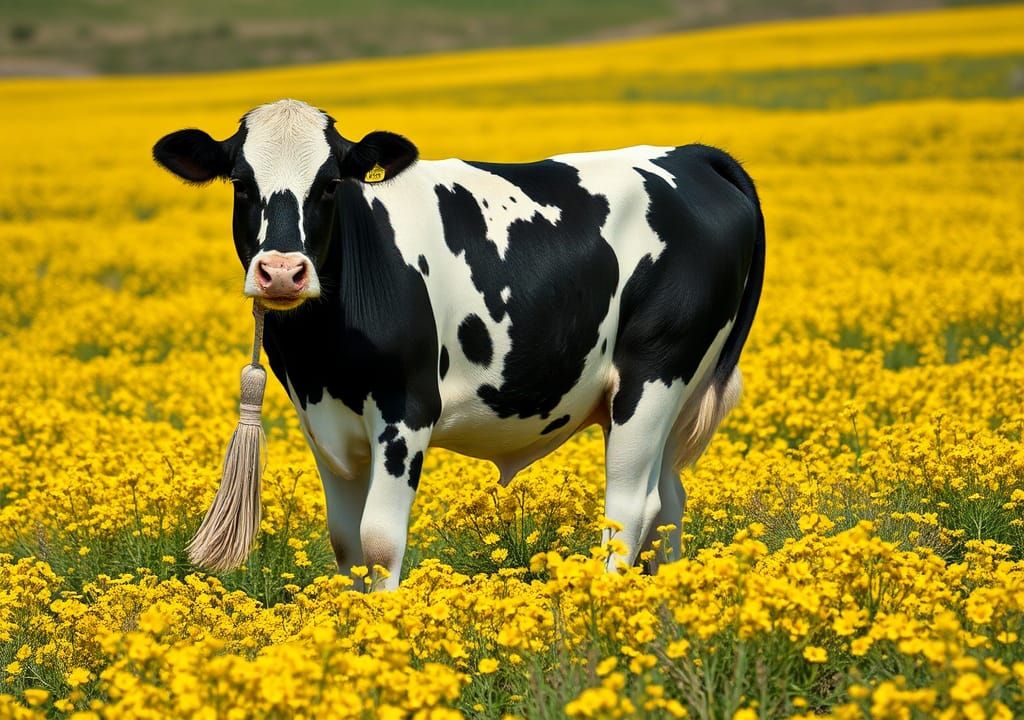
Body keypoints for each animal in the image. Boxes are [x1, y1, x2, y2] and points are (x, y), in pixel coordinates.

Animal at [153, 99, 764, 590]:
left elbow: (379, 540)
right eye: (241, 182)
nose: (282, 272)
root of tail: (692, 155)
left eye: (329, 183)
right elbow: (346, 543)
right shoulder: (321, 420)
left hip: (655, 373)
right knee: (671, 501)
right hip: (669, 393)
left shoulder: (408, 408)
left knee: (633, 506)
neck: (324, 354)